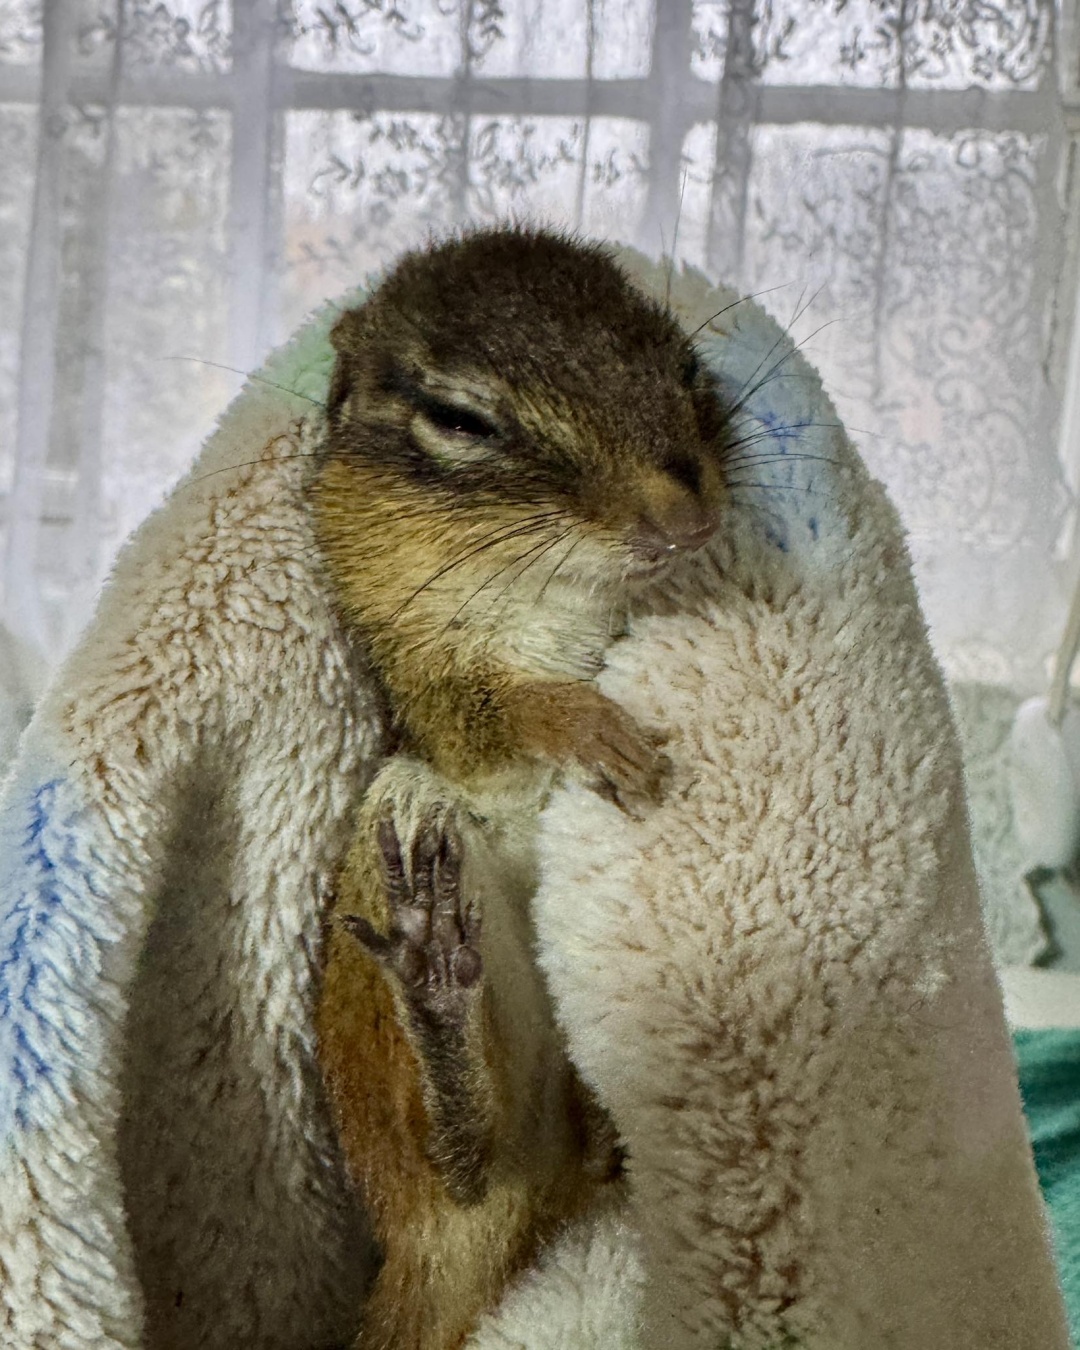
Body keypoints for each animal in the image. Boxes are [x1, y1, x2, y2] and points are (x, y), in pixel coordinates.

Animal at [307, 227, 732, 1350]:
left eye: (686, 366)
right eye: (460, 421)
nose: (686, 514)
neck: (554, 587)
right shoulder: (421, 678)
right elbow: (499, 710)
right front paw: (593, 728)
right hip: (392, 836)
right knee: (461, 1170)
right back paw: (435, 998)